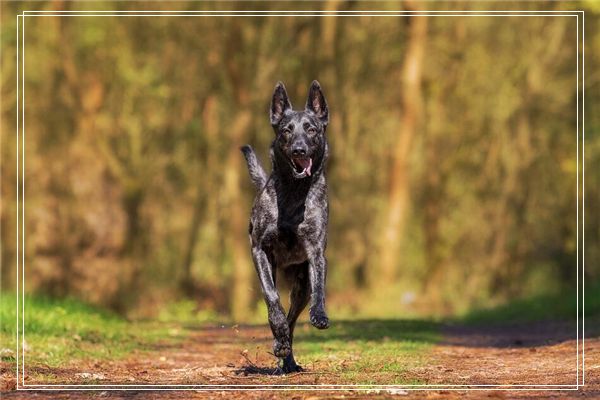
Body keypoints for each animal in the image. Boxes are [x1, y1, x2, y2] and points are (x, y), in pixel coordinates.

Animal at [241, 79, 330, 374]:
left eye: (312, 129)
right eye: (287, 130)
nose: (299, 150)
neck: (294, 192)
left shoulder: (316, 252)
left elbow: (320, 288)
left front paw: (320, 314)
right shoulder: (260, 251)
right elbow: (272, 299)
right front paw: (277, 332)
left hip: (301, 287)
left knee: (293, 318)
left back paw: (288, 359)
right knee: (281, 313)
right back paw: (281, 346)